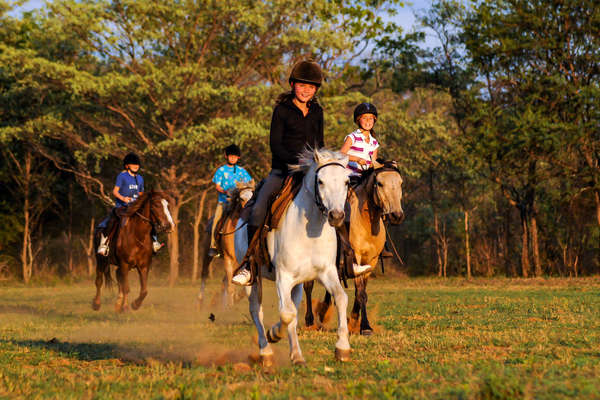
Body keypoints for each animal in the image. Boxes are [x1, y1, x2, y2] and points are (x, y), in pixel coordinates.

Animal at [197, 180, 253, 308]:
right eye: (241, 198)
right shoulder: (229, 259)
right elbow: (231, 286)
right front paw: (230, 306)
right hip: (207, 255)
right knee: (204, 274)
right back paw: (201, 302)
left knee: (225, 281)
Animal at [234, 149, 354, 366]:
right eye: (320, 181)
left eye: (346, 181)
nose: (337, 216)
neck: (310, 230)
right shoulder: (284, 277)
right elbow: (286, 313)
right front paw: (274, 333)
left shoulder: (326, 272)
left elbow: (341, 298)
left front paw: (342, 348)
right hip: (254, 279)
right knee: (257, 310)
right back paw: (266, 352)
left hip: (298, 284)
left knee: (293, 309)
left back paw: (297, 355)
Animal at [304, 161, 404, 336]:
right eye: (380, 183)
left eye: (400, 183)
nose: (397, 216)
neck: (366, 223)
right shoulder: (355, 257)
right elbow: (361, 293)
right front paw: (365, 326)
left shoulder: (371, 260)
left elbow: (360, 293)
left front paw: (354, 320)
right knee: (308, 286)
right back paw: (310, 320)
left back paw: (323, 312)